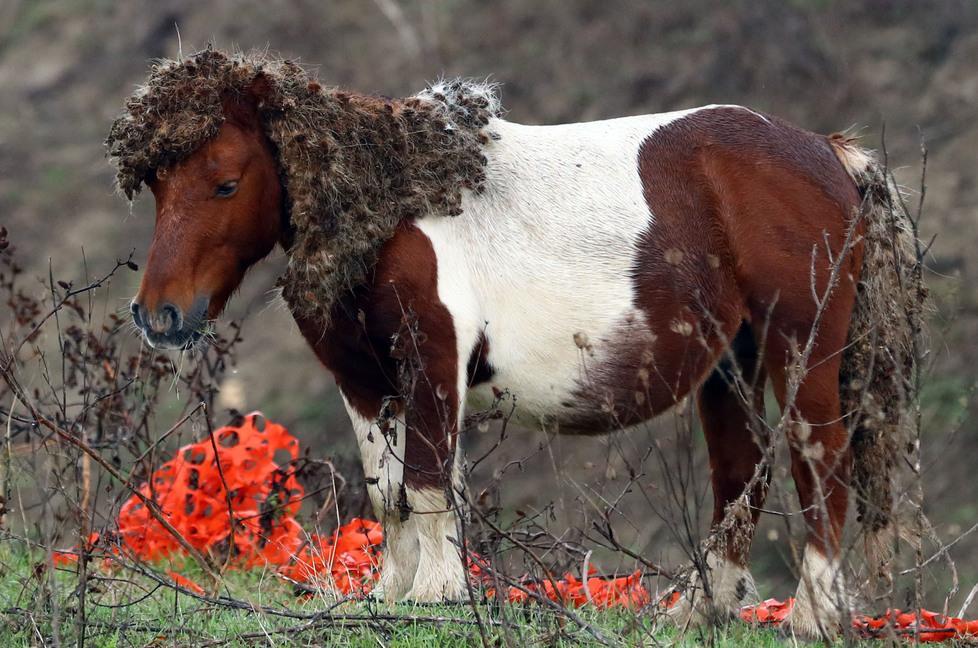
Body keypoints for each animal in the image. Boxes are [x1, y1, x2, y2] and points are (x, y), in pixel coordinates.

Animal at [112, 50, 921, 637]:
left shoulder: (432, 362)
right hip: (732, 361)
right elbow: (387, 493)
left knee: (819, 464)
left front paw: (435, 595)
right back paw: (703, 607)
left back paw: (813, 616)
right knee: (740, 473)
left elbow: (426, 484)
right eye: (156, 184)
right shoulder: (365, 383)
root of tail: (827, 153)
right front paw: (388, 591)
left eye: (224, 182)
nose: (160, 314)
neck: (386, 207)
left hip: (800, 351)